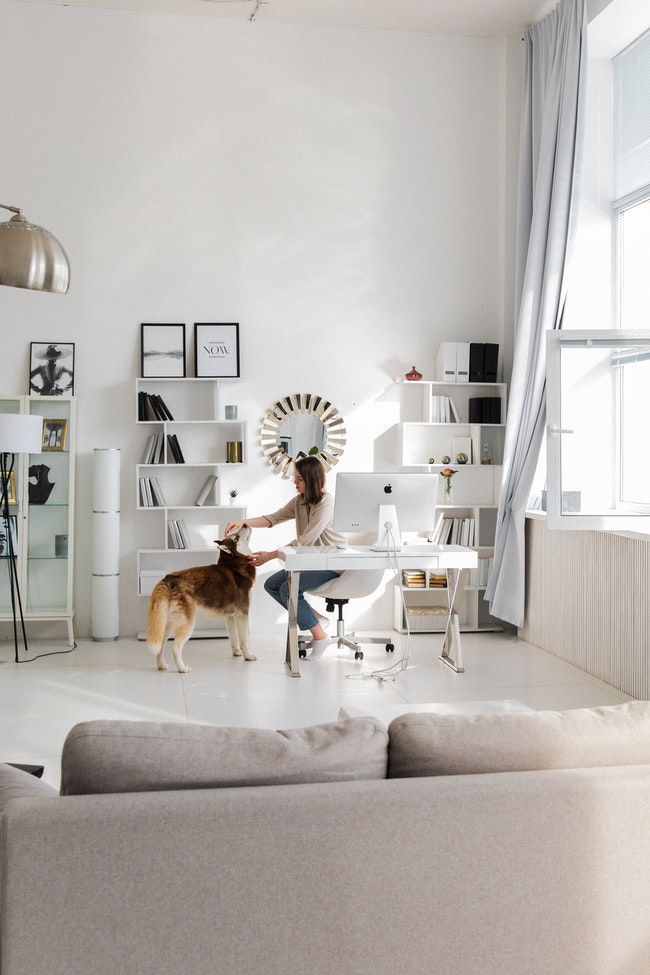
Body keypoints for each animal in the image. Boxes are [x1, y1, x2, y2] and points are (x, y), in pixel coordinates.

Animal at [147, 524, 256, 676]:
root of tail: (169, 578)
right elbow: (244, 640)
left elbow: (233, 638)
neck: (235, 568)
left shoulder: (230, 617)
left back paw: (161, 665)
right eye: (236, 538)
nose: (245, 524)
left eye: (235, 533)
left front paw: (236, 653)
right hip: (187, 623)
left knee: (161, 644)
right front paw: (248, 656)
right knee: (175, 647)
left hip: (168, 622)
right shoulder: (243, 614)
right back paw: (182, 668)